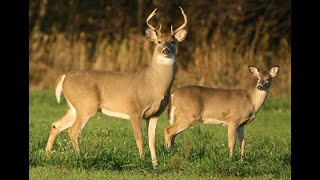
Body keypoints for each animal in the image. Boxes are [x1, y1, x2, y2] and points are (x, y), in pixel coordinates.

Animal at [46, 7, 189, 167]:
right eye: (158, 42)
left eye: (172, 42)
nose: (165, 50)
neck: (153, 85)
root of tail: (64, 76)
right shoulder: (134, 110)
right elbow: (140, 139)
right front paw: (142, 162)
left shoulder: (154, 114)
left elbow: (152, 141)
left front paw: (155, 165)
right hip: (86, 105)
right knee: (72, 131)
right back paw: (80, 157)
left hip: (74, 107)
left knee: (56, 125)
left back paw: (47, 155)